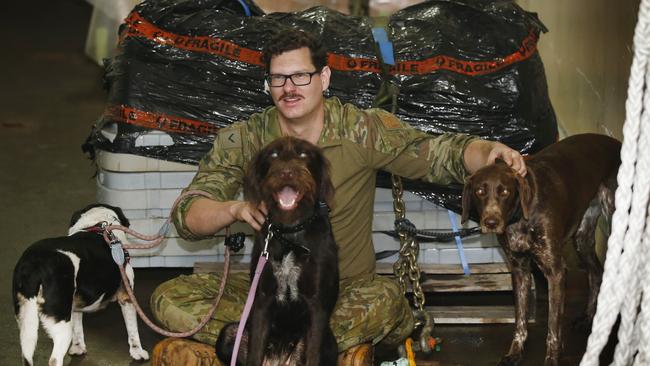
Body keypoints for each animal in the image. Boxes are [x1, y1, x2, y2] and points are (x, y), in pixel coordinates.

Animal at [12, 206, 148, 366]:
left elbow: (78, 328)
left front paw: (78, 348)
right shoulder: (127, 298)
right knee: (54, 359)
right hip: (61, 325)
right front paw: (138, 352)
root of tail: (36, 265)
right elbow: (133, 330)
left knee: (27, 355)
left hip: (26, 322)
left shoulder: (75, 307)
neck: (99, 224)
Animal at [216, 137, 340, 366]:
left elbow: (313, 356)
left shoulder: (316, 306)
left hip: (329, 343)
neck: (290, 234)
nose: (287, 172)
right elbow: (255, 352)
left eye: (303, 154)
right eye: (273, 155)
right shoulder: (262, 300)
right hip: (230, 334)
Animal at [458, 134, 620, 366]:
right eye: (480, 191)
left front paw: (552, 358)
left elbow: (553, 327)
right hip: (582, 237)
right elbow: (520, 320)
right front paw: (515, 353)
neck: (521, 216)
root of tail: (616, 143)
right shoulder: (520, 271)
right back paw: (588, 317)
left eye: (505, 191)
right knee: (596, 273)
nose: (491, 222)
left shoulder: (556, 272)